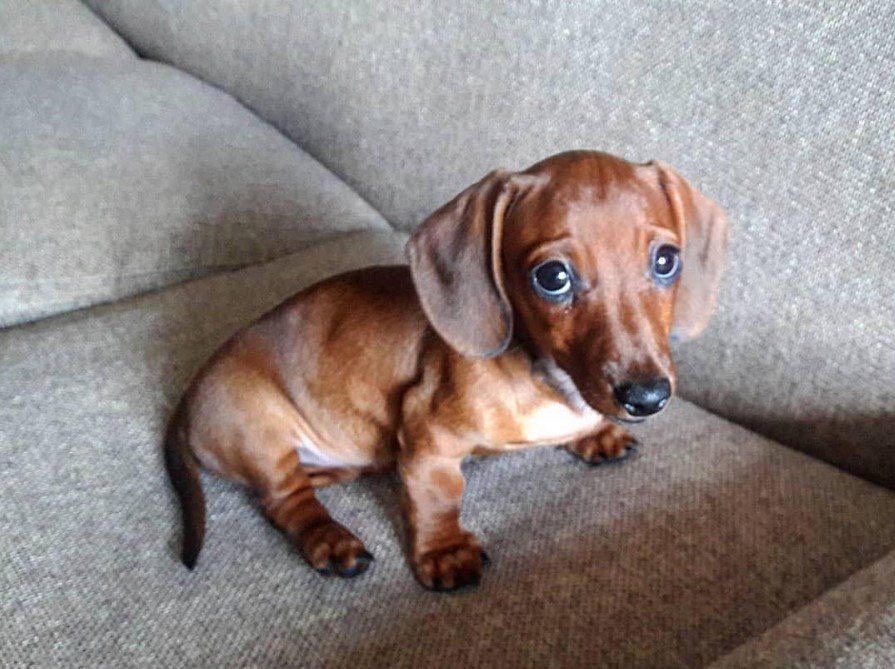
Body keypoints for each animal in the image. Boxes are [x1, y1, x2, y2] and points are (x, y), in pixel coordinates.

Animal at [166, 151, 728, 588]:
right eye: (553, 277)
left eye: (666, 261)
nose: (647, 396)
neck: (548, 380)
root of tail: (189, 394)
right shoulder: (426, 436)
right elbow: (438, 497)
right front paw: (445, 552)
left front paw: (596, 435)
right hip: (257, 428)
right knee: (284, 501)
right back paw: (330, 541)